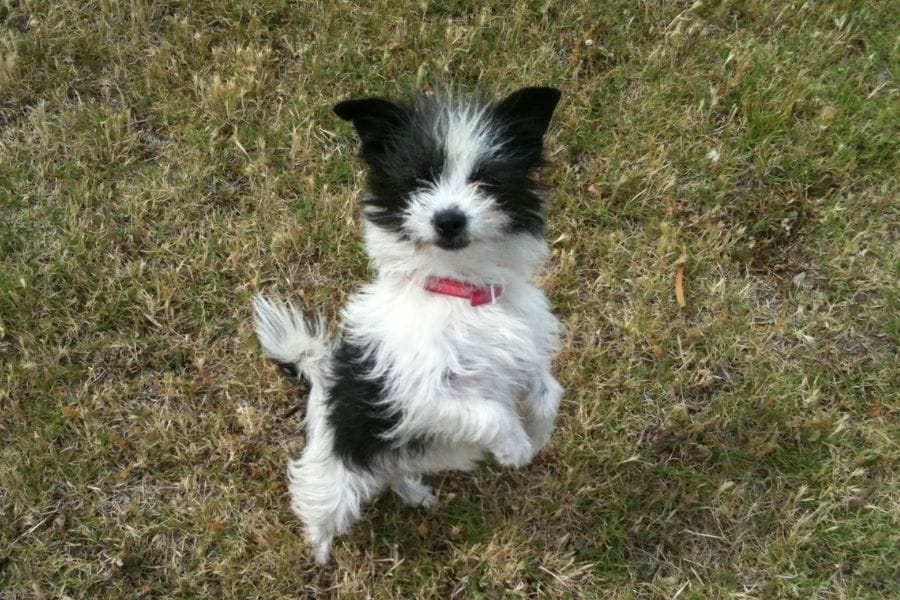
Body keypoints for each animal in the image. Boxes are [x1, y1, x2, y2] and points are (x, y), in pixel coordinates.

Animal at [253, 84, 564, 564]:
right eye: (419, 181)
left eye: (486, 181)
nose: (449, 219)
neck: (457, 291)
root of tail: (319, 377)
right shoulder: (420, 395)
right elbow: (491, 412)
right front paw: (514, 446)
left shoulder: (522, 351)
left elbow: (548, 391)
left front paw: (538, 432)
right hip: (334, 474)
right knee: (319, 506)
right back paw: (320, 552)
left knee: (394, 474)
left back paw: (414, 492)